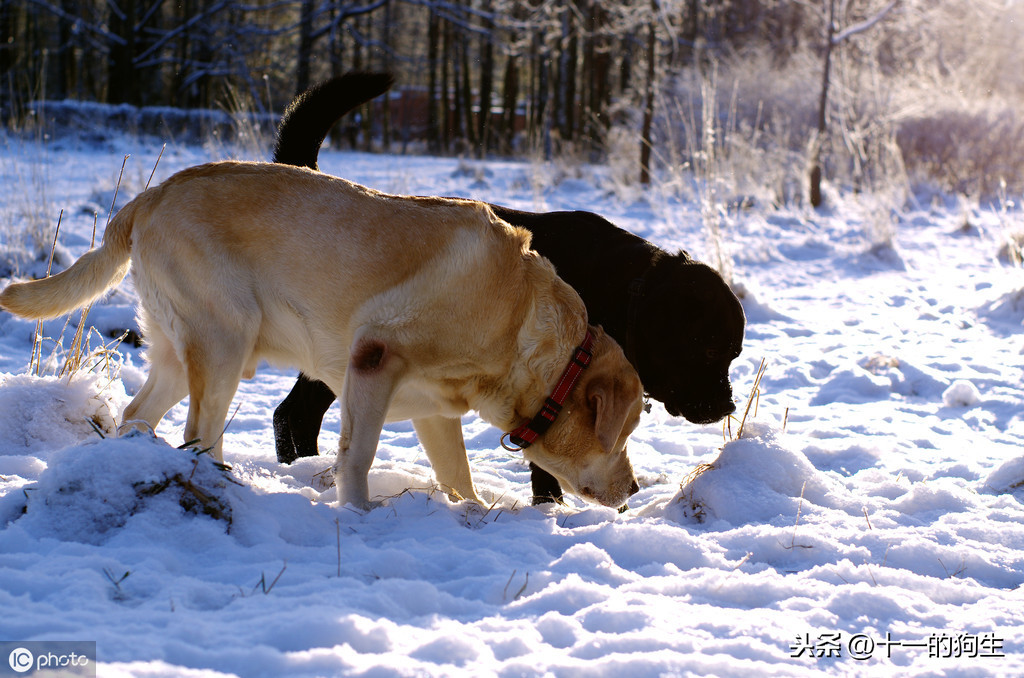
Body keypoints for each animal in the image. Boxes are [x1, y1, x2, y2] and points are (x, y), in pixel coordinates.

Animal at [0, 160, 638, 510]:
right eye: (625, 432)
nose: (634, 489)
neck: (518, 324)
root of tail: (149, 196)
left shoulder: (435, 410)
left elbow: (456, 472)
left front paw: (472, 511)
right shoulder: (374, 359)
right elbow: (357, 454)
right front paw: (357, 516)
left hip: (183, 351)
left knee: (140, 415)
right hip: (225, 339)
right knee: (198, 430)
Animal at [268, 73, 741, 503]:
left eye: (733, 354)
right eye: (709, 350)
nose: (728, 407)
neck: (625, 288)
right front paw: (548, 505)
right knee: (294, 413)